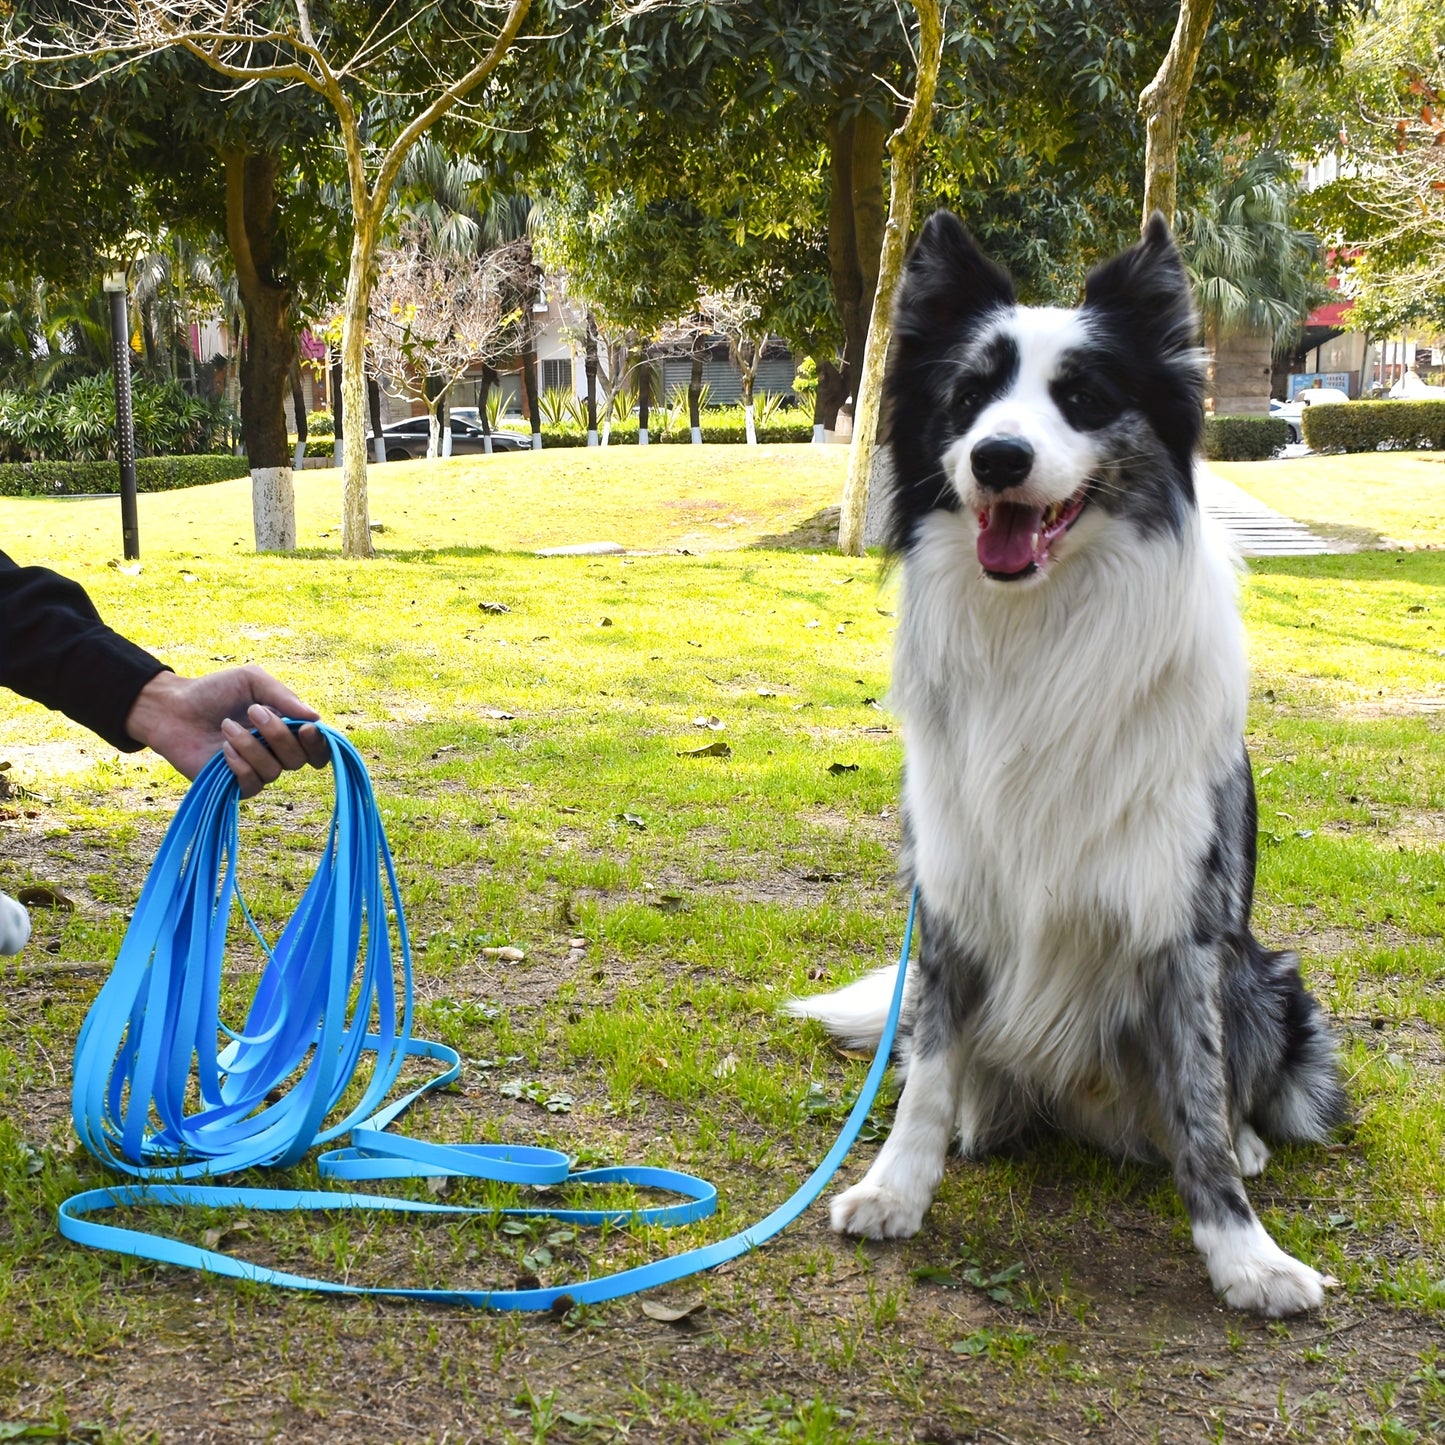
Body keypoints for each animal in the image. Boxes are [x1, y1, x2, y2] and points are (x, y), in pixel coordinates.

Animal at [791, 210, 1340, 1323]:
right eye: (966, 397)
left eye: (1081, 397)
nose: (997, 457)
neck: (1040, 628)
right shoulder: (950, 898)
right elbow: (926, 1072)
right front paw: (894, 1186)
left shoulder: (1180, 922)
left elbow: (1199, 1096)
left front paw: (1244, 1254)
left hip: (1266, 977)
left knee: (1231, 1085)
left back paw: (1248, 1143)